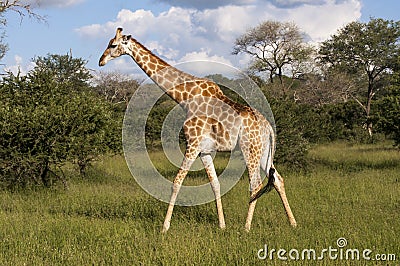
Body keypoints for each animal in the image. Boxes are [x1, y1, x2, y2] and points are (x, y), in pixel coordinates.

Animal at [98, 27, 296, 233]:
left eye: (113, 45)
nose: (101, 61)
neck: (184, 98)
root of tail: (269, 128)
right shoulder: (204, 150)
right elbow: (215, 184)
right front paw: (222, 225)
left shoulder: (192, 144)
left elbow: (176, 182)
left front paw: (164, 227)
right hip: (264, 151)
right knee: (278, 179)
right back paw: (293, 223)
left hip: (250, 149)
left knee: (256, 184)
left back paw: (246, 227)